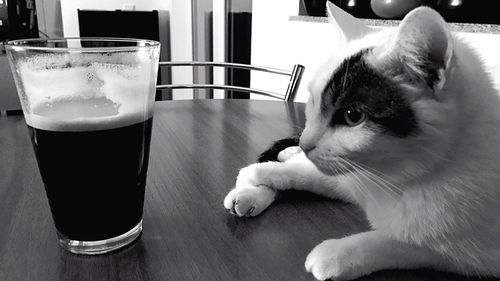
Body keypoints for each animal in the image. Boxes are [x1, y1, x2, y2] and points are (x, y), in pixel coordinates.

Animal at [223, 2, 500, 280]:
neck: (399, 177)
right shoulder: (351, 174)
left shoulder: (473, 255)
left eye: (352, 116)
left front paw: (338, 253)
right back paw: (252, 187)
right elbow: (304, 175)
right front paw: (259, 172)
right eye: (313, 100)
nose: (305, 143)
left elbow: (408, 244)